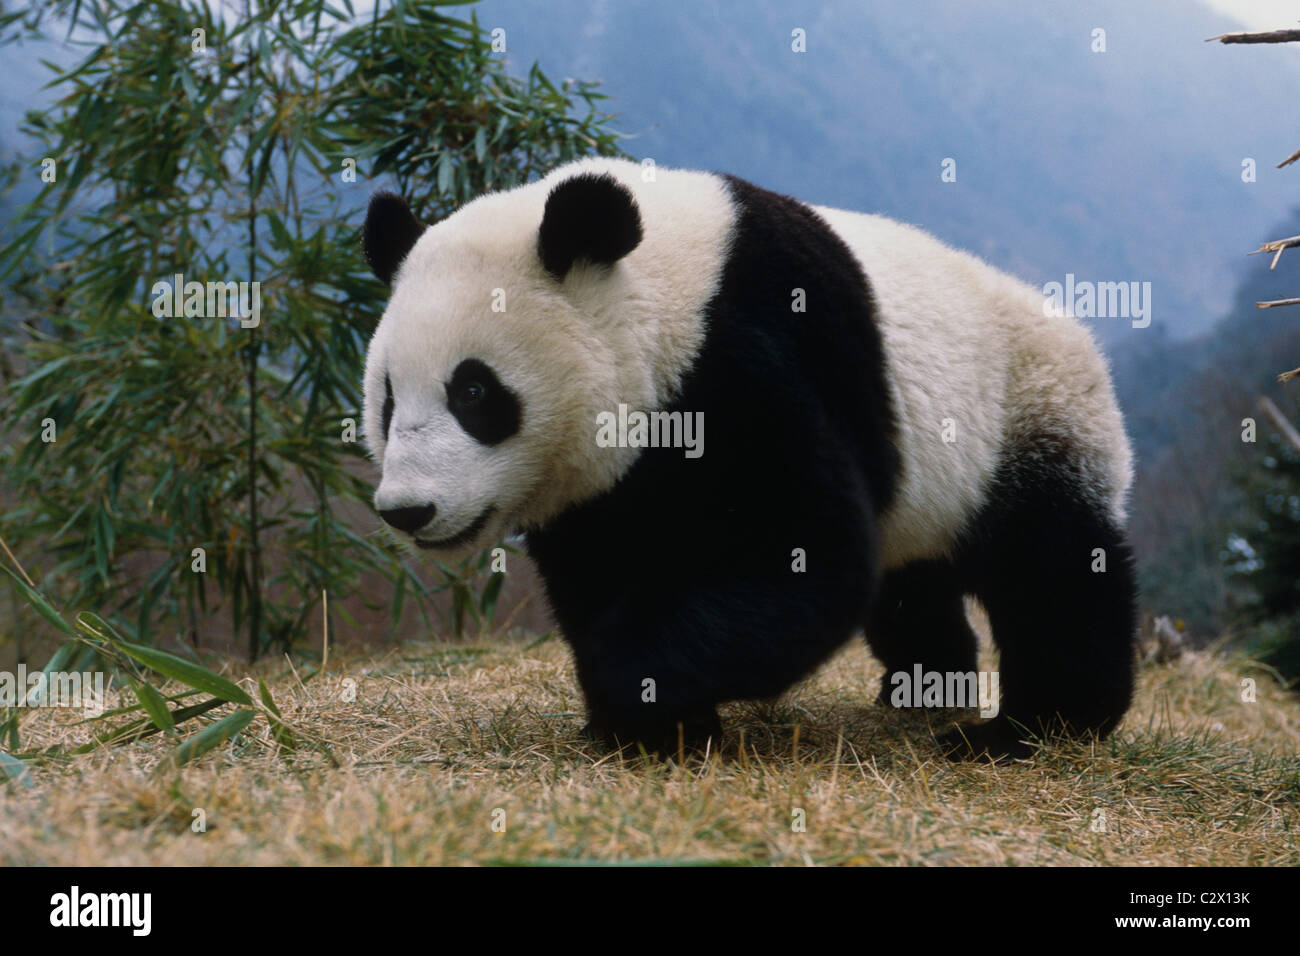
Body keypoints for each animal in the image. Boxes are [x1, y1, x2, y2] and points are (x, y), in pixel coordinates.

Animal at [358, 160, 1138, 764]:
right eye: (389, 399)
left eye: (474, 392)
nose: (409, 510)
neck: (662, 292)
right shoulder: (605, 484)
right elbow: (600, 570)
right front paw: (649, 721)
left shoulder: (747, 356)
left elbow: (801, 557)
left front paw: (639, 694)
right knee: (915, 579)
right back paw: (921, 687)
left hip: (1029, 410)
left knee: (1055, 567)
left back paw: (1036, 727)